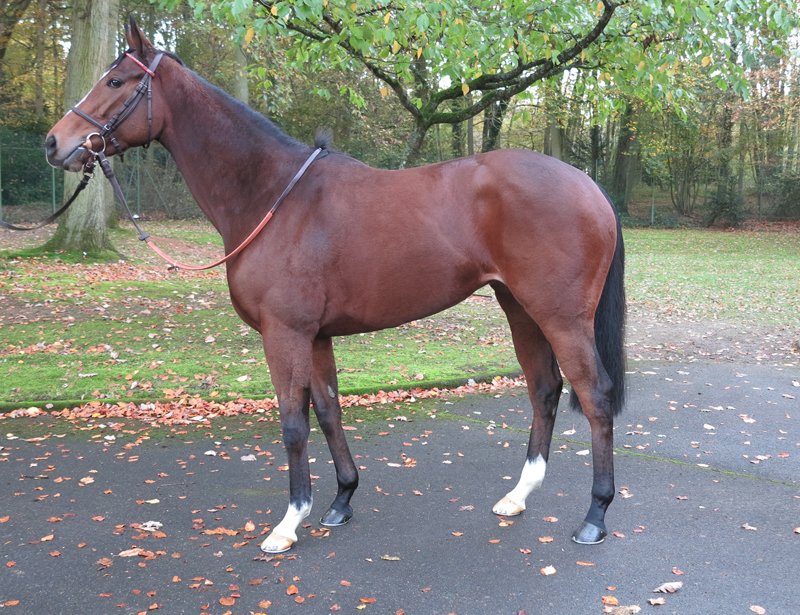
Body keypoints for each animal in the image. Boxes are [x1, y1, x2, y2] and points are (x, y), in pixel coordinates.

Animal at [45, 18, 626, 554]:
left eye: (116, 80)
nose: (56, 143)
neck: (274, 196)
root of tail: (590, 187)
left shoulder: (284, 334)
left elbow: (292, 424)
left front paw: (287, 524)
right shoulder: (317, 335)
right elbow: (327, 411)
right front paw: (341, 499)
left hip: (560, 317)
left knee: (594, 395)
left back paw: (595, 515)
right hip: (520, 308)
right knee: (544, 389)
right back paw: (517, 496)